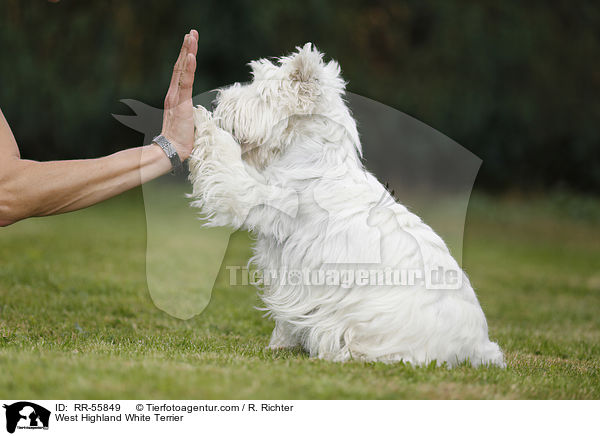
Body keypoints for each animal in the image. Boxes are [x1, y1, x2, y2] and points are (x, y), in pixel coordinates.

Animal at [189, 44, 506, 366]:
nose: (217, 99)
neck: (312, 158)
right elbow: (287, 321)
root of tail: (479, 347)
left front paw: (200, 120)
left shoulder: (257, 198)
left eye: (260, 93)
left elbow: (227, 163)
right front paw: (280, 345)